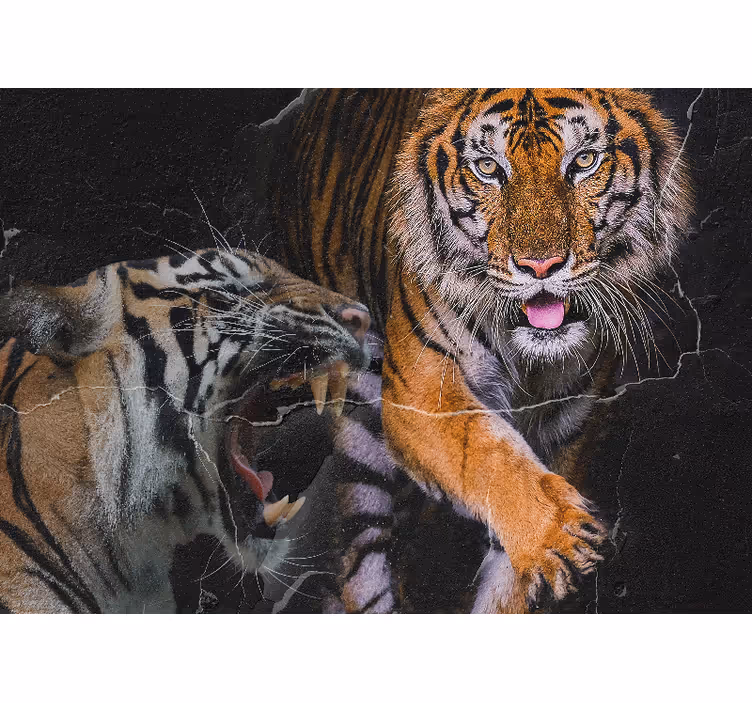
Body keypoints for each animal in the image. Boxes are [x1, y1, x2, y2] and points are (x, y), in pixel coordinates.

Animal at [233, 88, 692, 613]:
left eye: (584, 161)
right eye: (488, 168)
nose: (541, 266)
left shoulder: (567, 429)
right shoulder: (421, 392)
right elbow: (489, 453)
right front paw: (561, 535)